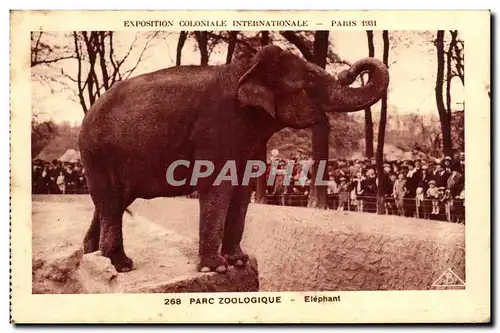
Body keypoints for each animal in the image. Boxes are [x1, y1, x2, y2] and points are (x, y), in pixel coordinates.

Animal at [79, 44, 390, 272]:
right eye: (311, 79)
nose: (350, 71)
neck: (245, 67)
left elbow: (242, 188)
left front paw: (239, 261)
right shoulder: (217, 127)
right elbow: (217, 186)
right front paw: (215, 269)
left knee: (112, 203)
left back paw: (92, 256)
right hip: (99, 154)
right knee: (111, 202)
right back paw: (120, 265)